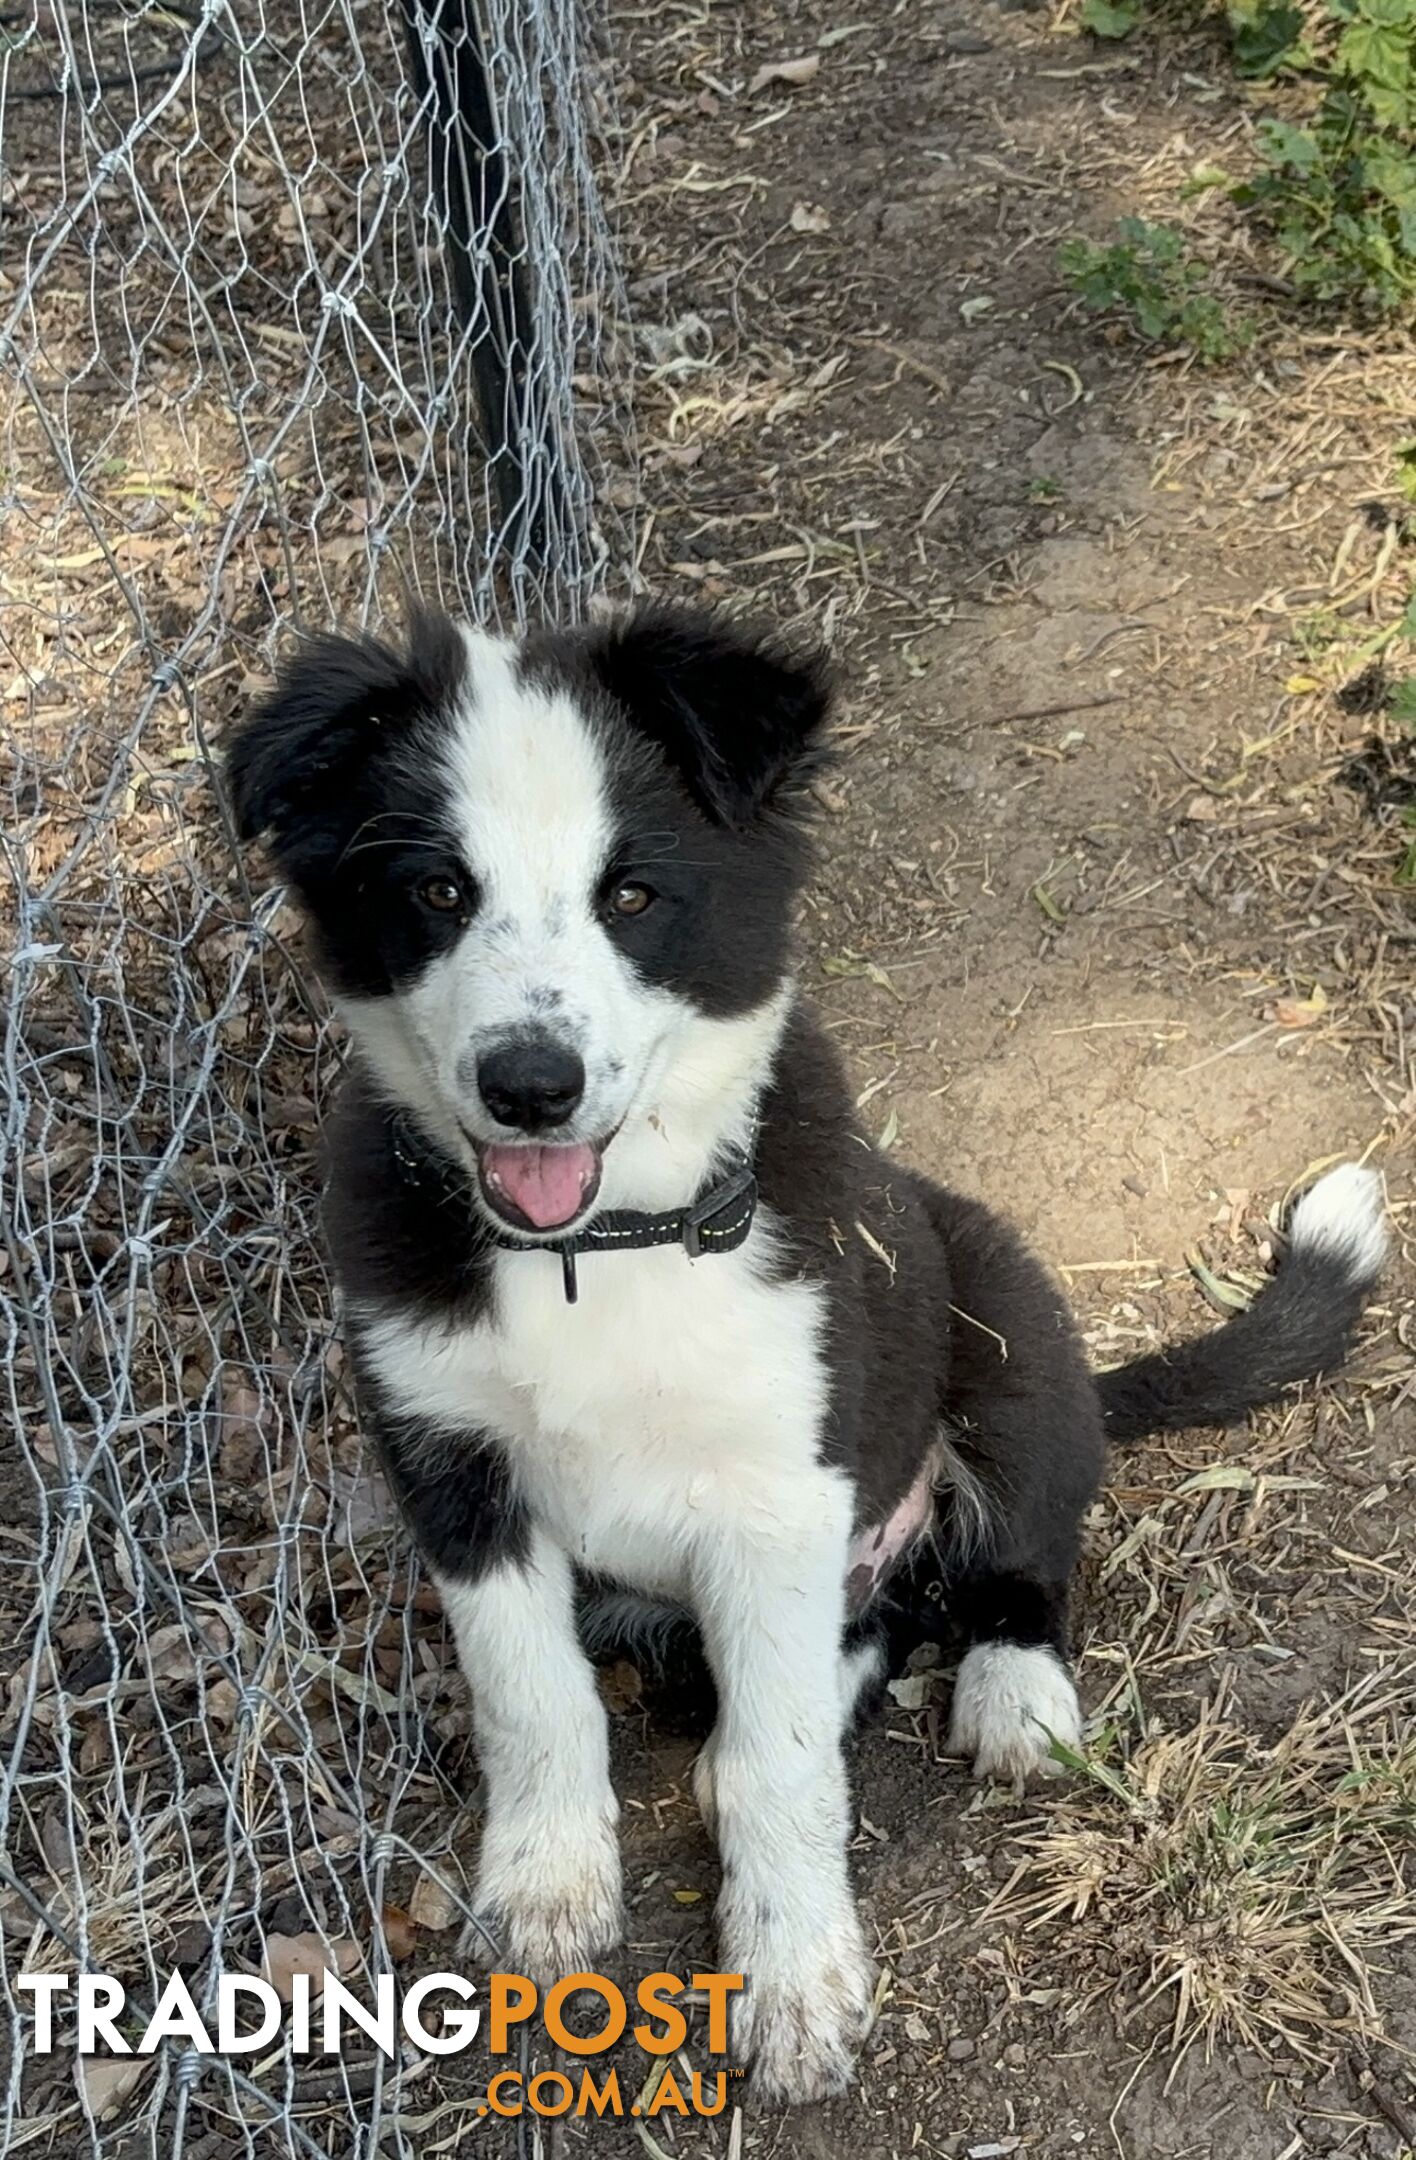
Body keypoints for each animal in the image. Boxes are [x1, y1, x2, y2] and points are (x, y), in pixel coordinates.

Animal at [226, 609, 1390, 2108]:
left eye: (632, 898)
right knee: (860, 1630)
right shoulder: (453, 1469)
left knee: (1011, 1558)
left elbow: (788, 1769)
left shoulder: (780, 1487)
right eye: (436, 891)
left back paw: (1014, 1689)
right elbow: (533, 1696)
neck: (603, 1247)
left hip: (1003, 1325)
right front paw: (545, 1890)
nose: (531, 1086)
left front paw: (794, 1987)